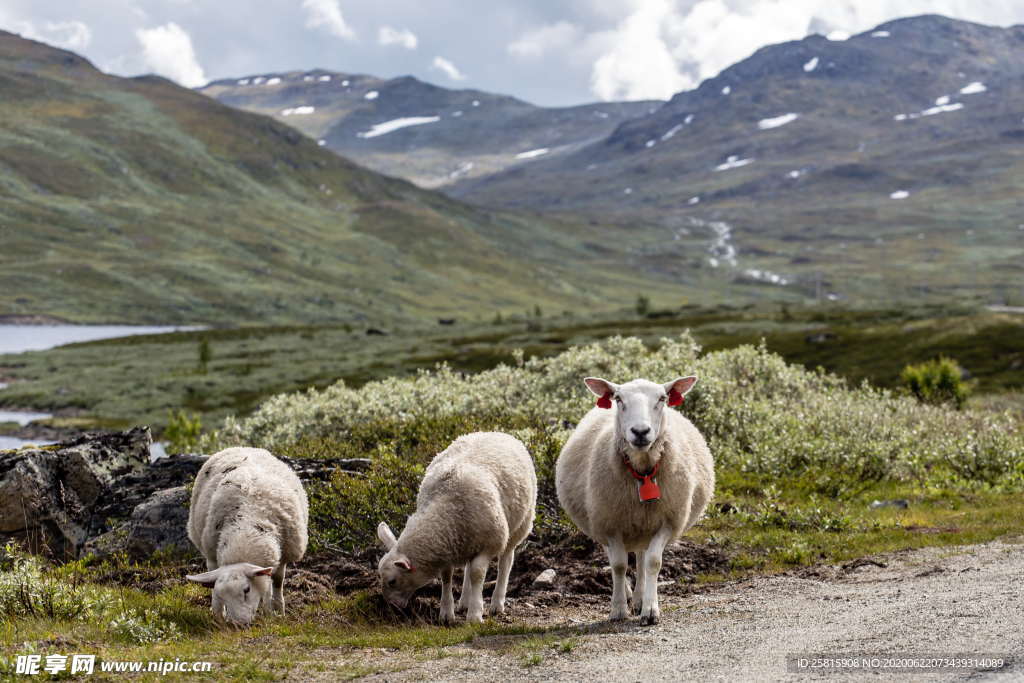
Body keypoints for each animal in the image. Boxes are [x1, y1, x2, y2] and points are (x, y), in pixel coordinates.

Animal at [186, 446, 307, 626]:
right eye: (222, 596)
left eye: (246, 589)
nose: (238, 625)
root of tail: (241, 447)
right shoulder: (213, 556)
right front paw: (218, 616)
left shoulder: (285, 553)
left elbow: (276, 582)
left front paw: (276, 611)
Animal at [376, 432, 536, 626]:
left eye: (392, 581)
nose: (391, 606)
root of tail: (498, 432)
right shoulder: (447, 547)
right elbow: (447, 576)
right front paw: (447, 612)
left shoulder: (489, 543)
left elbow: (477, 573)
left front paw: (475, 614)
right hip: (469, 541)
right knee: (468, 566)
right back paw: (464, 601)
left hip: (519, 525)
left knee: (505, 561)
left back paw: (497, 603)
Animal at [557, 376, 716, 626]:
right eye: (618, 399)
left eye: (662, 398)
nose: (640, 431)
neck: (643, 472)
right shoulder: (609, 524)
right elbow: (619, 565)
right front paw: (618, 609)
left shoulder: (667, 522)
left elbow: (652, 562)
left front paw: (650, 610)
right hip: (599, 520)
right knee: (614, 557)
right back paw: (628, 593)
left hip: (644, 524)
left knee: (641, 559)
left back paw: (640, 597)